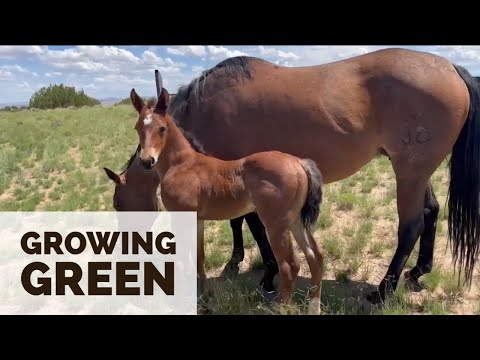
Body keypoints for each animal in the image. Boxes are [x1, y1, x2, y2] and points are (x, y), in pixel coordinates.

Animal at [161, 47, 480, 304]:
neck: (208, 105)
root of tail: (451, 67)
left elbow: (248, 223)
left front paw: (264, 272)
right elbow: (239, 221)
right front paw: (238, 262)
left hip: (409, 173)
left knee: (411, 226)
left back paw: (382, 292)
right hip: (416, 172)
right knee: (431, 211)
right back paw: (417, 272)